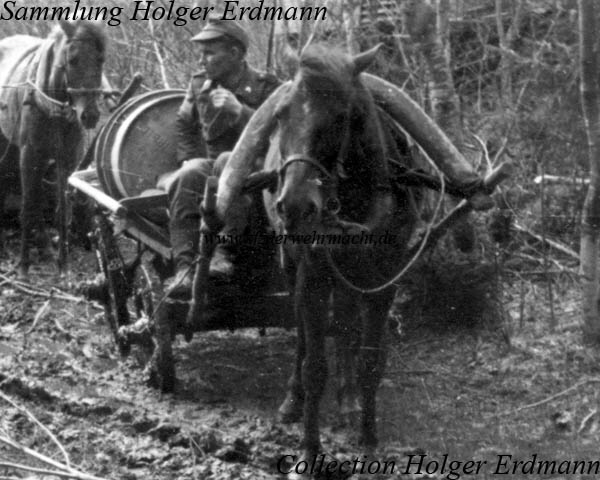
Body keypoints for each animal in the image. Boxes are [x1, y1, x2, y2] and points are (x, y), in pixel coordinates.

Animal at [0, 20, 105, 280]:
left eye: (101, 59)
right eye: (72, 59)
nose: (90, 115)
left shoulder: (66, 160)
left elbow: (61, 211)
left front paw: (63, 268)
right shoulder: (28, 155)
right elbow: (27, 207)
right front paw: (23, 268)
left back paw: (47, 250)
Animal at [218, 45, 420, 472]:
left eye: (343, 116)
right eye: (280, 115)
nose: (295, 205)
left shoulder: (385, 280)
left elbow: (370, 362)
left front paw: (368, 439)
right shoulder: (311, 273)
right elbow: (314, 366)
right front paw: (310, 450)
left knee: (343, 323)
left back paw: (347, 401)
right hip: (292, 263)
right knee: (301, 329)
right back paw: (293, 401)